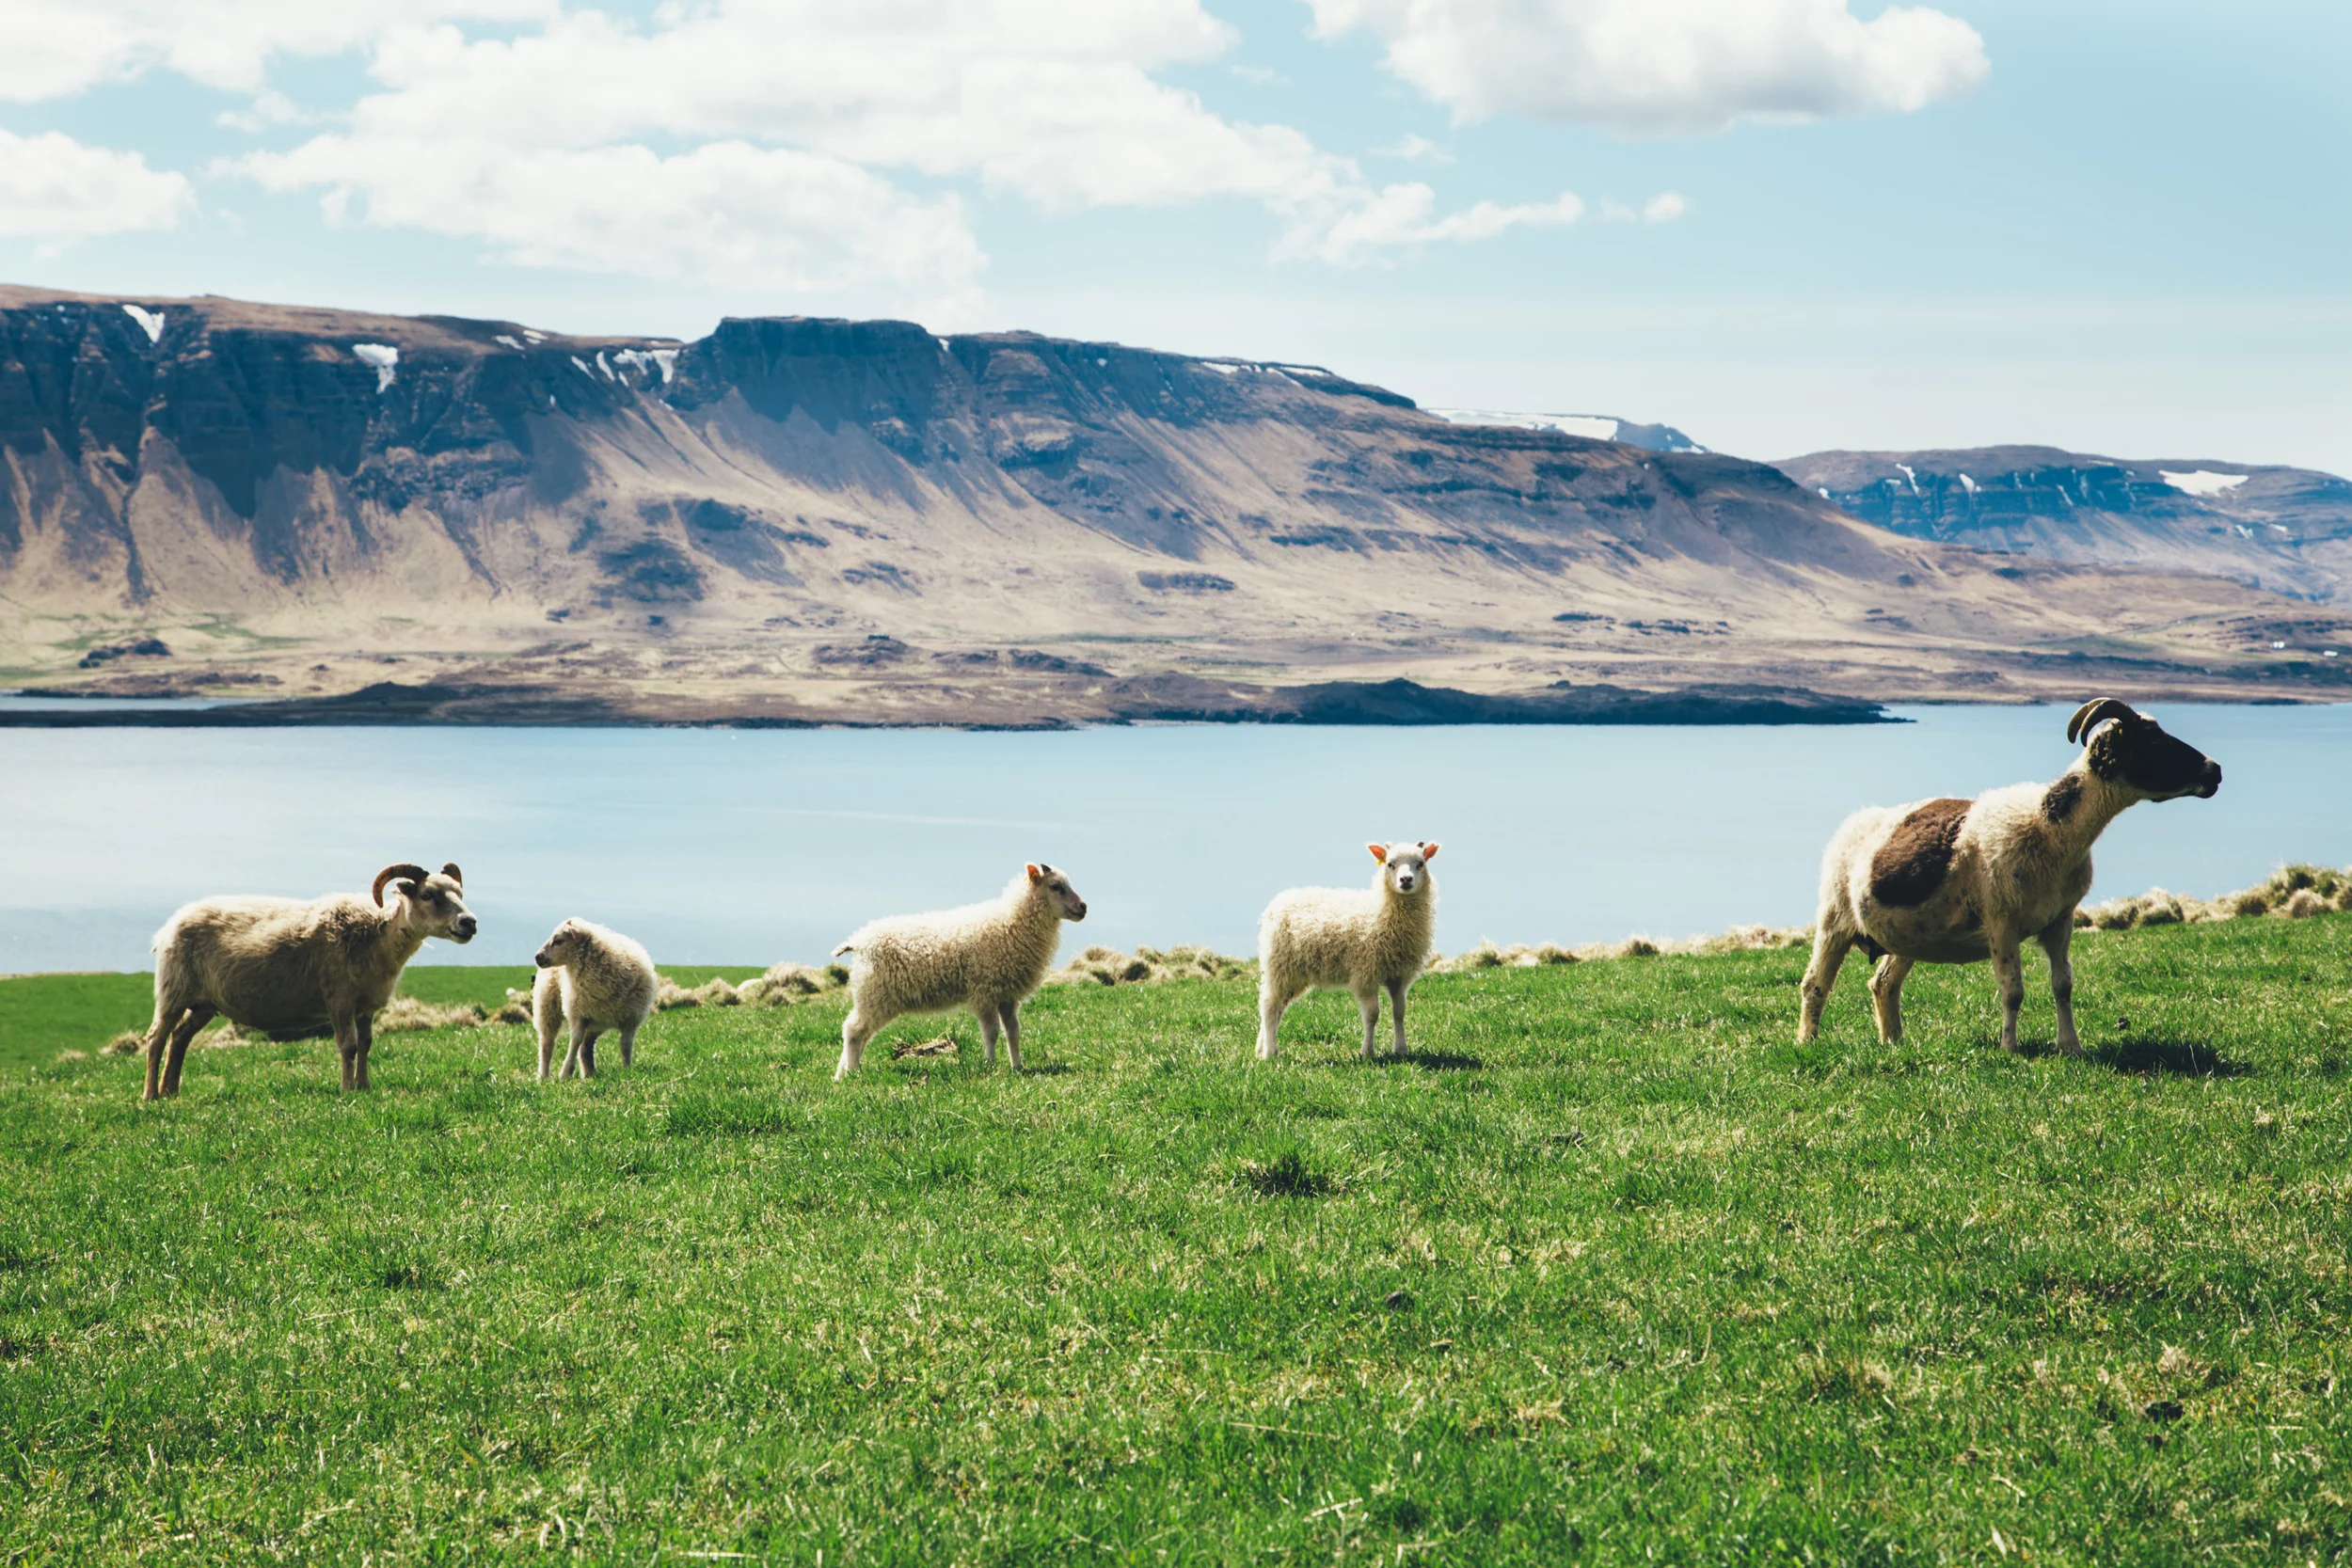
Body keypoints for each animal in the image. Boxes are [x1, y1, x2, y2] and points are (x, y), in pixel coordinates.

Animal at [139, 862, 478, 1100]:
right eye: (427, 895)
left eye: (460, 895)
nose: (469, 922)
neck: (376, 934)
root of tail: (169, 925)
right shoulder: (339, 1000)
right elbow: (348, 1046)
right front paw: (347, 1090)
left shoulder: (366, 1006)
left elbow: (366, 1044)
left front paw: (364, 1085)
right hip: (172, 990)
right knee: (157, 1038)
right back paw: (150, 1095)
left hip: (204, 1004)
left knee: (180, 1038)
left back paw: (171, 1091)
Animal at [531, 918, 659, 1080]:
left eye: (558, 940)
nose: (537, 957)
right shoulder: (577, 1013)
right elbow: (575, 1041)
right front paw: (565, 1073)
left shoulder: (631, 1020)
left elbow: (626, 1045)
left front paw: (627, 1069)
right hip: (548, 1007)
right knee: (547, 1044)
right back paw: (543, 1076)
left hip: (597, 1020)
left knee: (586, 1046)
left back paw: (589, 1074)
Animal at [830, 863, 1089, 1078]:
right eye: (1056, 887)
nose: (1083, 907)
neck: (1011, 924)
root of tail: (859, 942)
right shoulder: (985, 991)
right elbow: (991, 1032)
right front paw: (990, 1064)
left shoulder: (1008, 995)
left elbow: (1013, 1032)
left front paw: (1018, 1066)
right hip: (876, 994)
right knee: (853, 1030)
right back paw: (853, 1073)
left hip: (874, 997)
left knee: (861, 1034)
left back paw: (841, 1074)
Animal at [1256, 842, 1439, 1061]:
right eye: (1390, 864)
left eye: (1420, 864)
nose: (1406, 880)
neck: (1382, 911)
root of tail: (1276, 902)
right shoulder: (1366, 973)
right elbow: (1372, 1015)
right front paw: (1367, 1052)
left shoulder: (1399, 976)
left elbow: (1399, 1012)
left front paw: (1402, 1049)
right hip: (1279, 965)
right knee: (1269, 1005)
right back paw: (1270, 1053)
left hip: (1295, 974)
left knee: (1278, 1008)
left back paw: (1261, 1048)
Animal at [1799, 699, 2221, 1054]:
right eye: (2152, 739)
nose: (2215, 770)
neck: (2051, 828)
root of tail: (1853, 822)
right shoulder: (2001, 921)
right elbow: (2012, 991)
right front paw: (2009, 1049)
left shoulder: (2060, 919)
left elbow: (2063, 986)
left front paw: (2070, 1046)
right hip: (1835, 916)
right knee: (1814, 984)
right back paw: (1807, 1042)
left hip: (1908, 934)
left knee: (1883, 984)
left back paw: (1894, 1043)